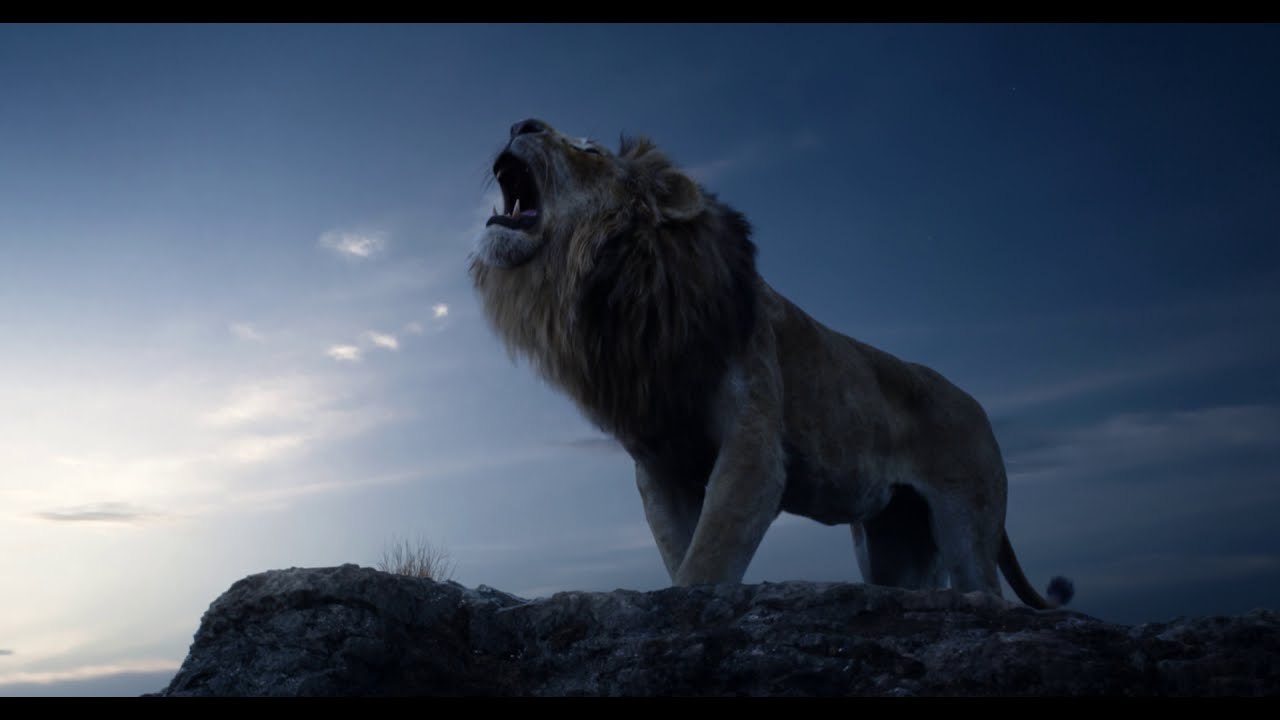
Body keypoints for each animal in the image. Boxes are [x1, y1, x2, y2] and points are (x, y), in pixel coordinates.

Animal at [469, 118, 1073, 609]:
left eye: (588, 149)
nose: (521, 122)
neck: (623, 287)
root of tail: (977, 405)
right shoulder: (659, 467)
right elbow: (681, 553)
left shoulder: (754, 446)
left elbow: (707, 559)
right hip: (893, 540)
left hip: (967, 520)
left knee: (984, 588)